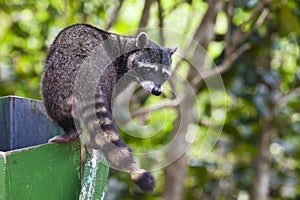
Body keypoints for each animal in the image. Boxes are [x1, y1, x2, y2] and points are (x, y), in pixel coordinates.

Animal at [40, 23, 176, 192]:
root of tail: (88, 73)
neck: (126, 49)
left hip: (58, 80)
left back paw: (70, 131)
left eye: (164, 75)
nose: (157, 91)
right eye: (150, 70)